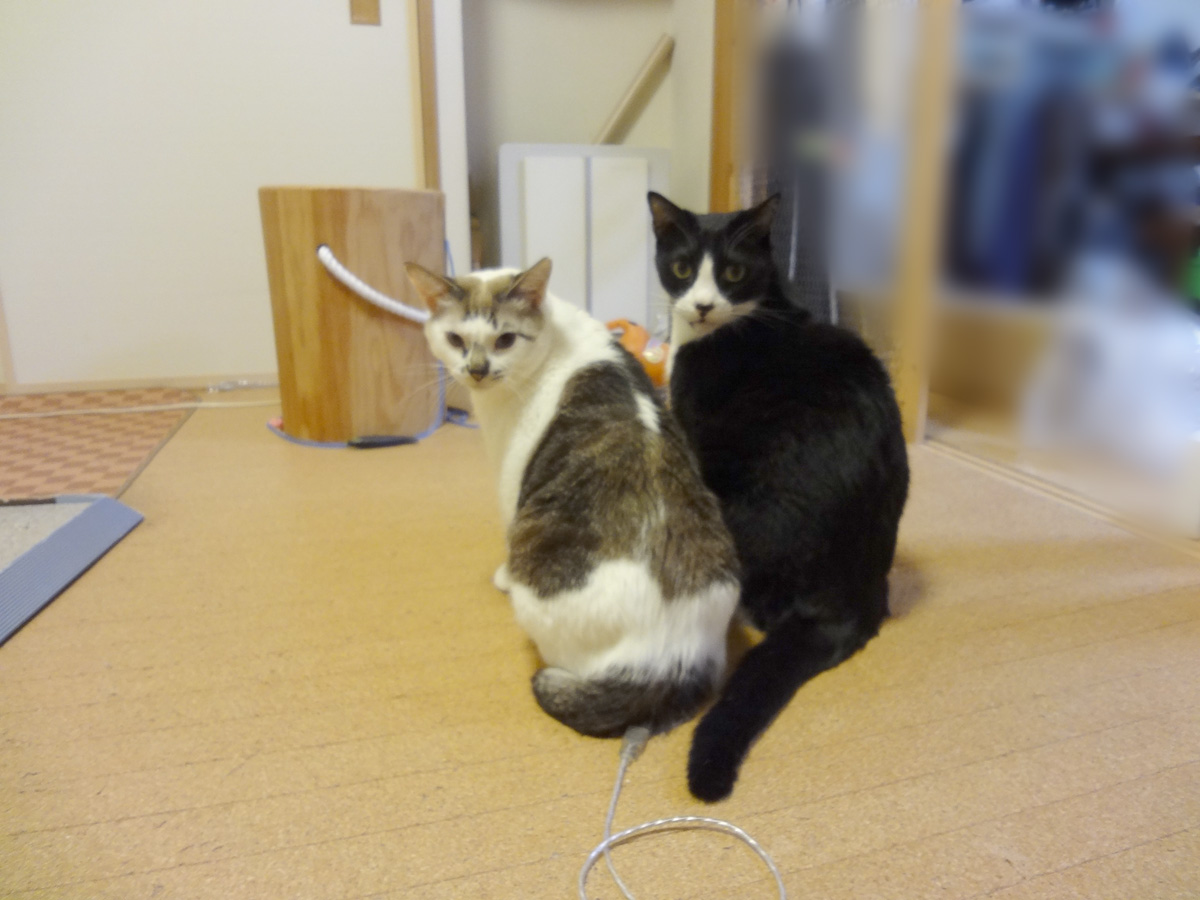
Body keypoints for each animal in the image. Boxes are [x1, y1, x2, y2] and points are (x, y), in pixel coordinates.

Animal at [405, 257, 741, 738]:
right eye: (455, 340)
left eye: (505, 340)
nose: (477, 370)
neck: (553, 339)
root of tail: (671, 654)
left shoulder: (511, 481)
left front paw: (503, 575)